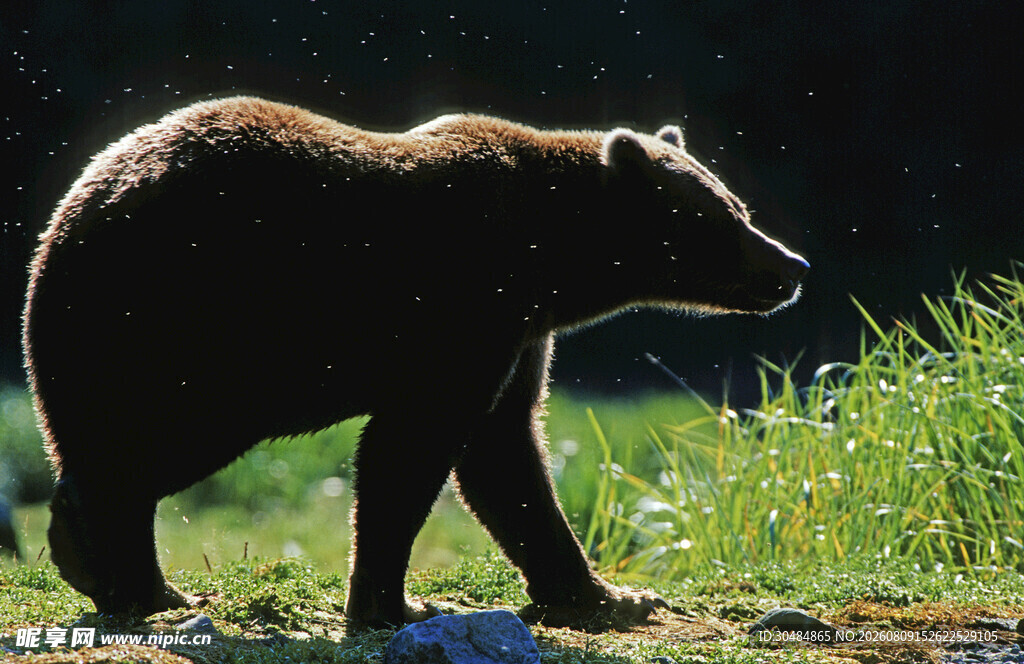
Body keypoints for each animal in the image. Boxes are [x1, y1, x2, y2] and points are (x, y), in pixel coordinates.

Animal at [22, 96, 808, 630]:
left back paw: (123, 575)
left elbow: (506, 454)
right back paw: (119, 570)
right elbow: (411, 451)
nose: (791, 265)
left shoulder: (518, 335)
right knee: (146, 448)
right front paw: (396, 603)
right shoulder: (461, 311)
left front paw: (612, 594)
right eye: (723, 216)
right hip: (189, 326)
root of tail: (67, 218)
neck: (548, 258)